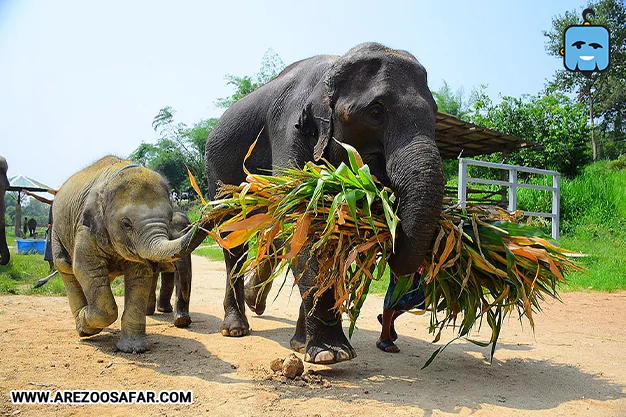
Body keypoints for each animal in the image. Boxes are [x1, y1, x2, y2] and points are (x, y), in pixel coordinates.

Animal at [52, 155, 202, 352]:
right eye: (126, 224)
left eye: (169, 219)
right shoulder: (85, 227)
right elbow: (86, 268)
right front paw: (87, 322)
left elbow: (140, 274)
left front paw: (133, 349)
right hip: (57, 232)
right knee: (66, 267)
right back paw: (83, 328)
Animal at [205, 41, 444, 360]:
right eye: (376, 111)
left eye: (435, 114)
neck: (334, 68)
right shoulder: (288, 127)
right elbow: (299, 221)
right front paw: (332, 353)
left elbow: (326, 231)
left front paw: (302, 345)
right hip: (218, 173)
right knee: (234, 235)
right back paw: (235, 328)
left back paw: (257, 302)